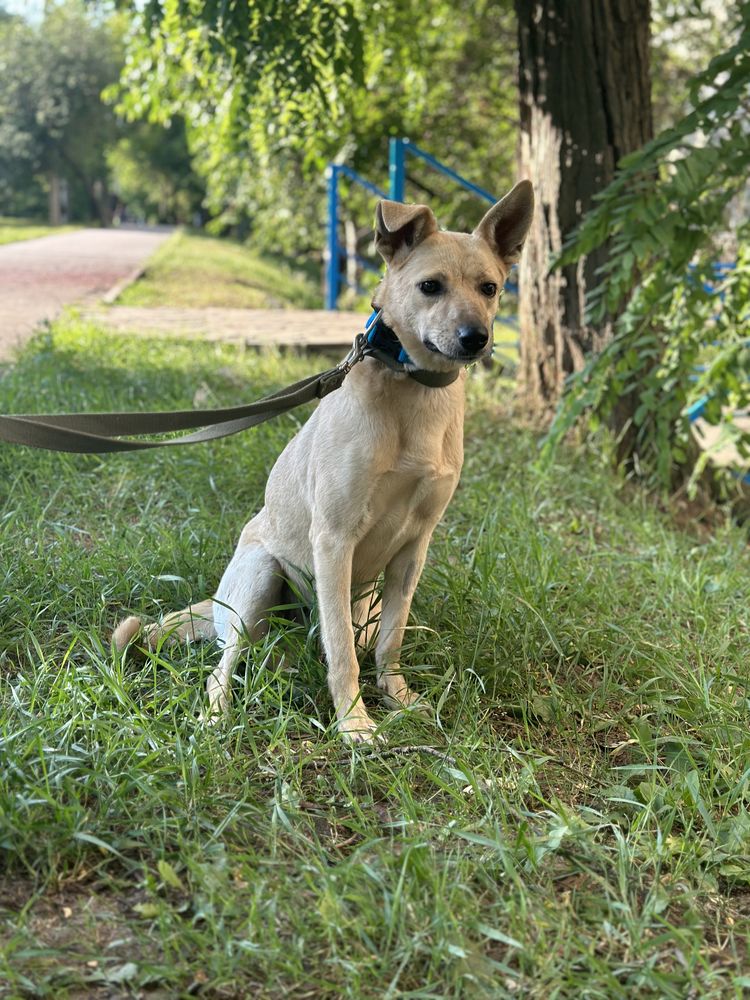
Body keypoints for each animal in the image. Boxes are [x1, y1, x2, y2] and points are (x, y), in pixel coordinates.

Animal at [113, 184, 536, 740]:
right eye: (430, 286)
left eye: (490, 288)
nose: (477, 338)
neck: (412, 392)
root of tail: (218, 604)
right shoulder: (334, 540)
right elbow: (340, 651)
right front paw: (354, 721)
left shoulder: (414, 548)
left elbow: (389, 642)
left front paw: (397, 699)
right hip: (259, 578)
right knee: (225, 666)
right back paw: (217, 715)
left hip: (363, 602)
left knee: (331, 643)